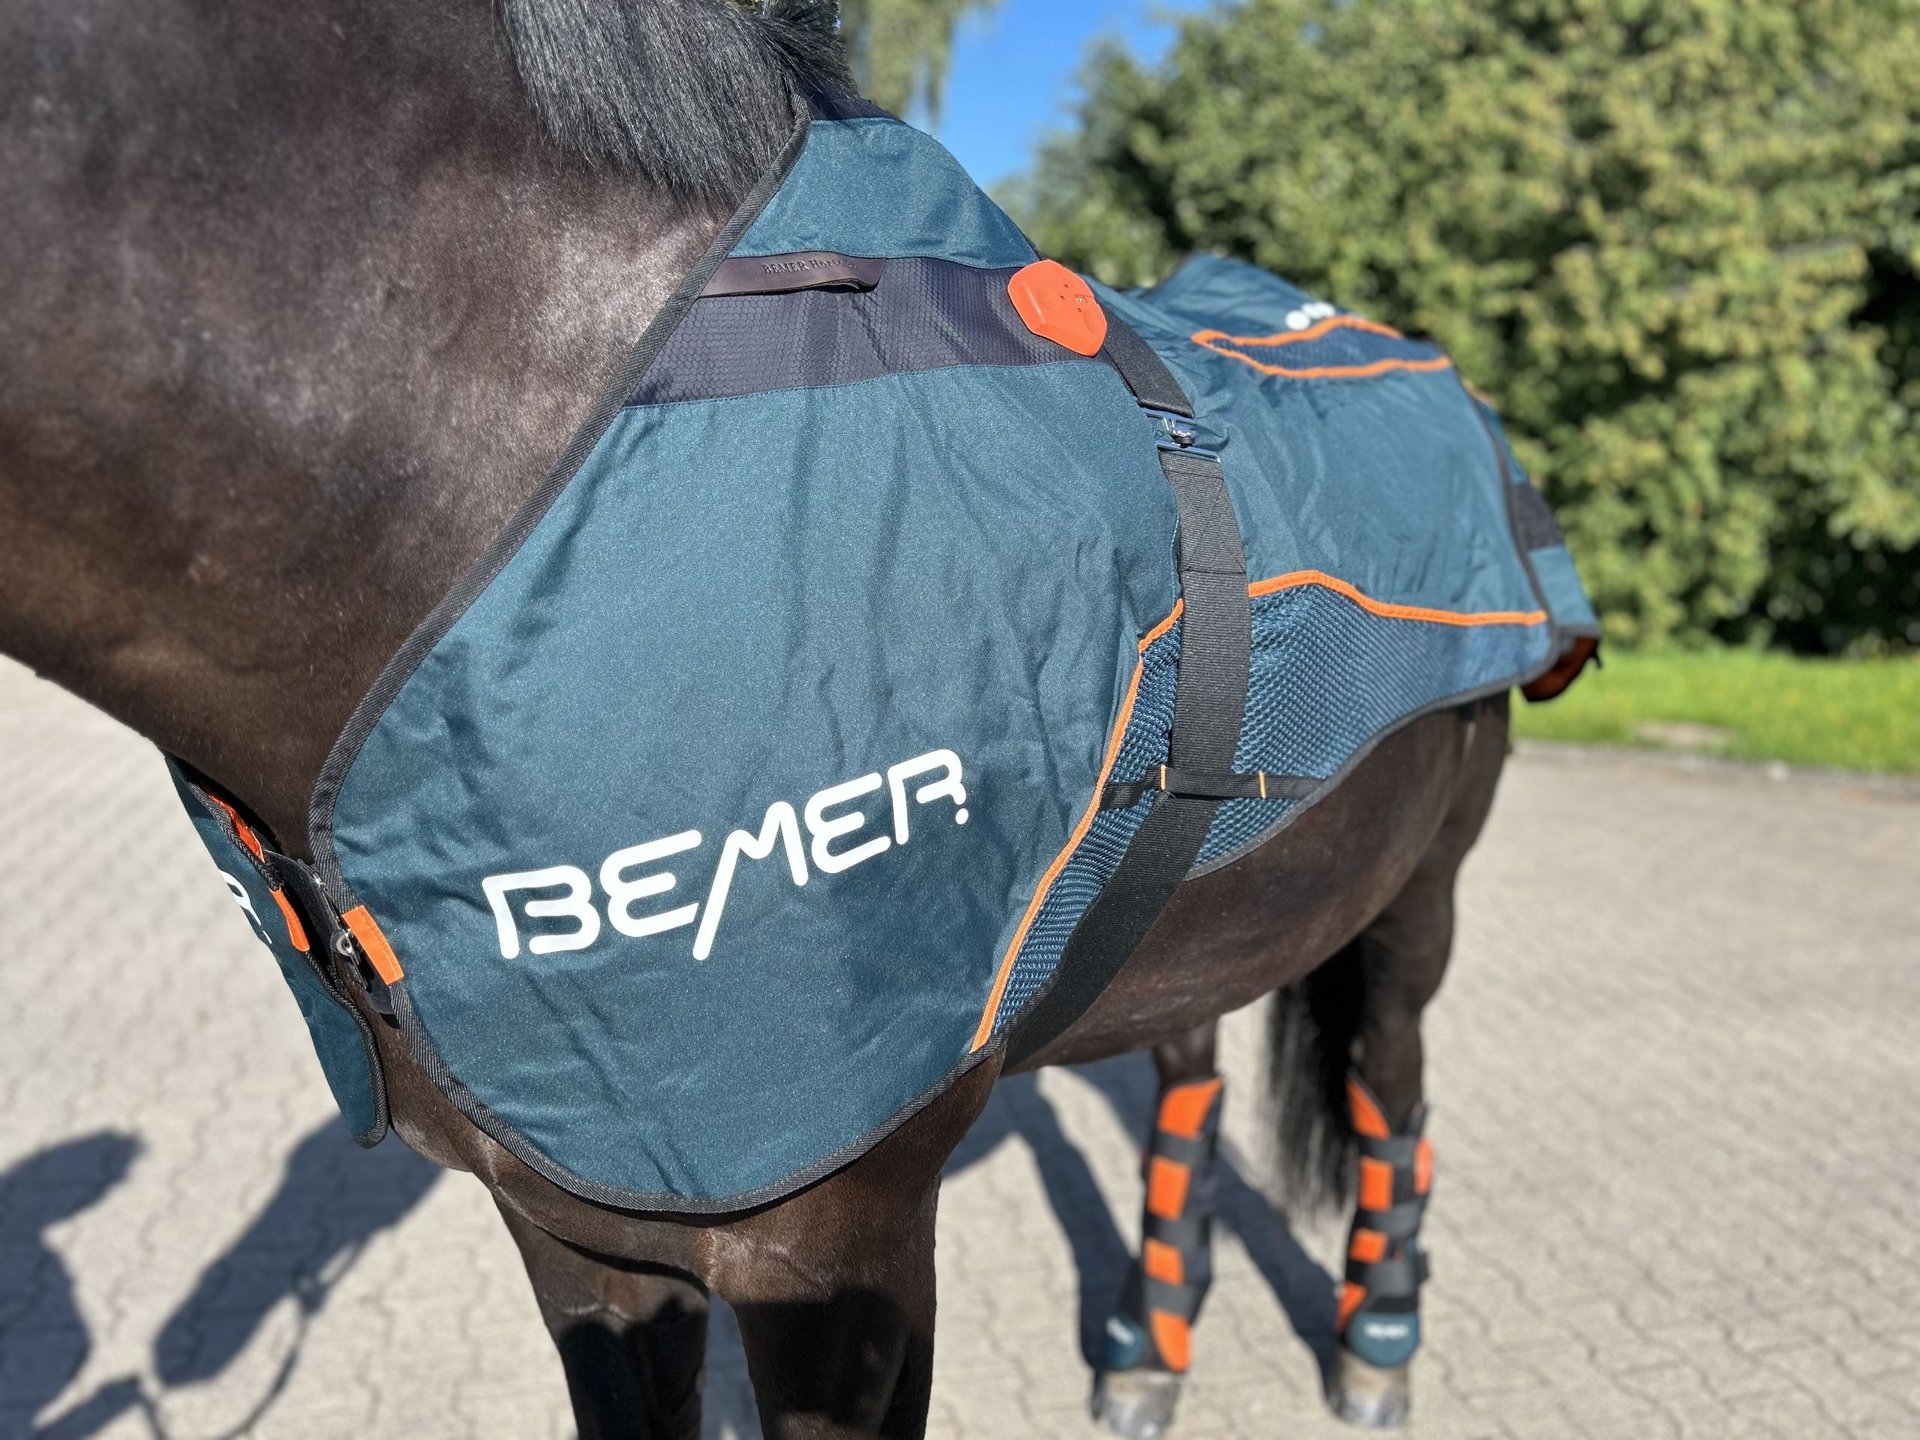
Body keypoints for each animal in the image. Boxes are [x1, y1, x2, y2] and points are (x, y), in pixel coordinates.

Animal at [1, 2, 1530, 1435]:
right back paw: (1146, 1353)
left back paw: (1377, 1346)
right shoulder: (576, 1234)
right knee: (1191, 1066)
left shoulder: (838, 1253)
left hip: (1423, 895)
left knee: (1396, 1084)